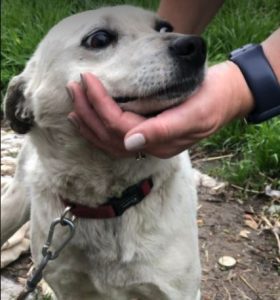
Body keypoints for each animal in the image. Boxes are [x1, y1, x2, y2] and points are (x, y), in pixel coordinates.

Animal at [1, 5, 207, 300]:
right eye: (99, 39)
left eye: (165, 28)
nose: (195, 45)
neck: (108, 204)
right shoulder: (71, 289)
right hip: (13, 202)